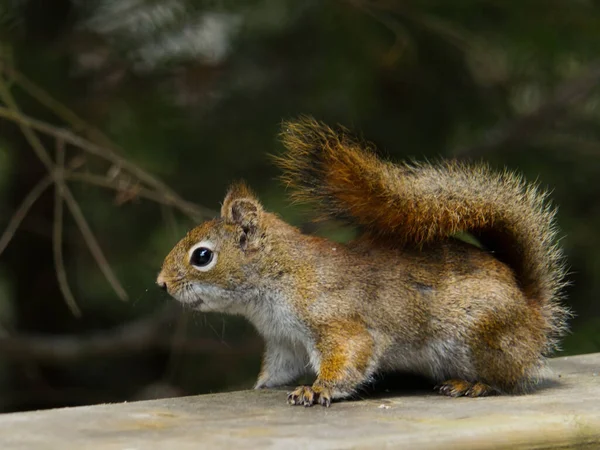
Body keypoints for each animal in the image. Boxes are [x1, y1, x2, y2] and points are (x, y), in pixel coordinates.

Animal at [155, 116, 568, 408]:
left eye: (202, 256)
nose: (161, 283)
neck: (279, 277)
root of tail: (534, 316)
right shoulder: (285, 342)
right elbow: (278, 371)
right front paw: (263, 385)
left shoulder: (337, 320)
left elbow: (349, 355)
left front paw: (317, 390)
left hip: (483, 332)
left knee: (508, 377)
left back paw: (474, 384)